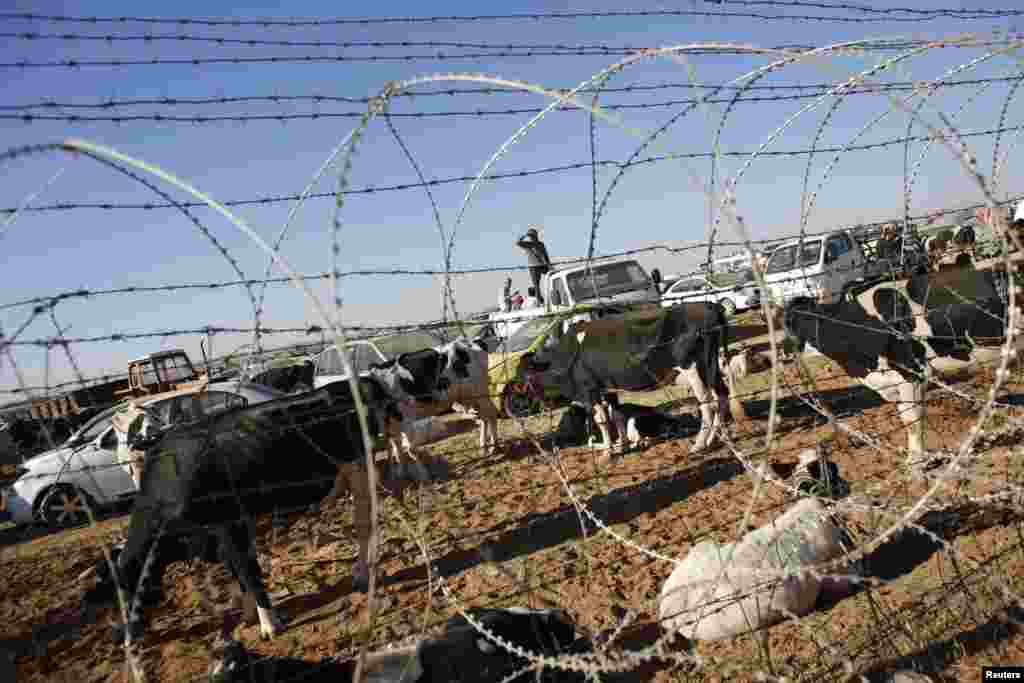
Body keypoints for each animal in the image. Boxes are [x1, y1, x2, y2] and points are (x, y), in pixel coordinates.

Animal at [81, 350, 458, 643]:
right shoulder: (222, 532)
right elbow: (236, 569)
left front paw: (269, 623)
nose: (119, 638)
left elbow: (248, 570)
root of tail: (360, 383)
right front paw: (249, 613)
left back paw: (363, 573)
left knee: (366, 523)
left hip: (358, 468)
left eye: (124, 591)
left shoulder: (230, 523)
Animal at [528, 305, 745, 458]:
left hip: (692, 367)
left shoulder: (589, 389)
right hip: (711, 365)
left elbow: (602, 420)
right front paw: (622, 446)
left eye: (526, 375)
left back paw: (699, 444)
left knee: (707, 403)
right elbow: (617, 416)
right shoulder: (608, 387)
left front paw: (608, 452)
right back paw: (715, 439)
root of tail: (709, 305)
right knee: (721, 395)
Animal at [774, 266, 1007, 475]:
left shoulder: (911, 373)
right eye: (787, 323)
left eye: (798, 322)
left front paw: (916, 463)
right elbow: (906, 416)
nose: (784, 351)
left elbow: (912, 420)